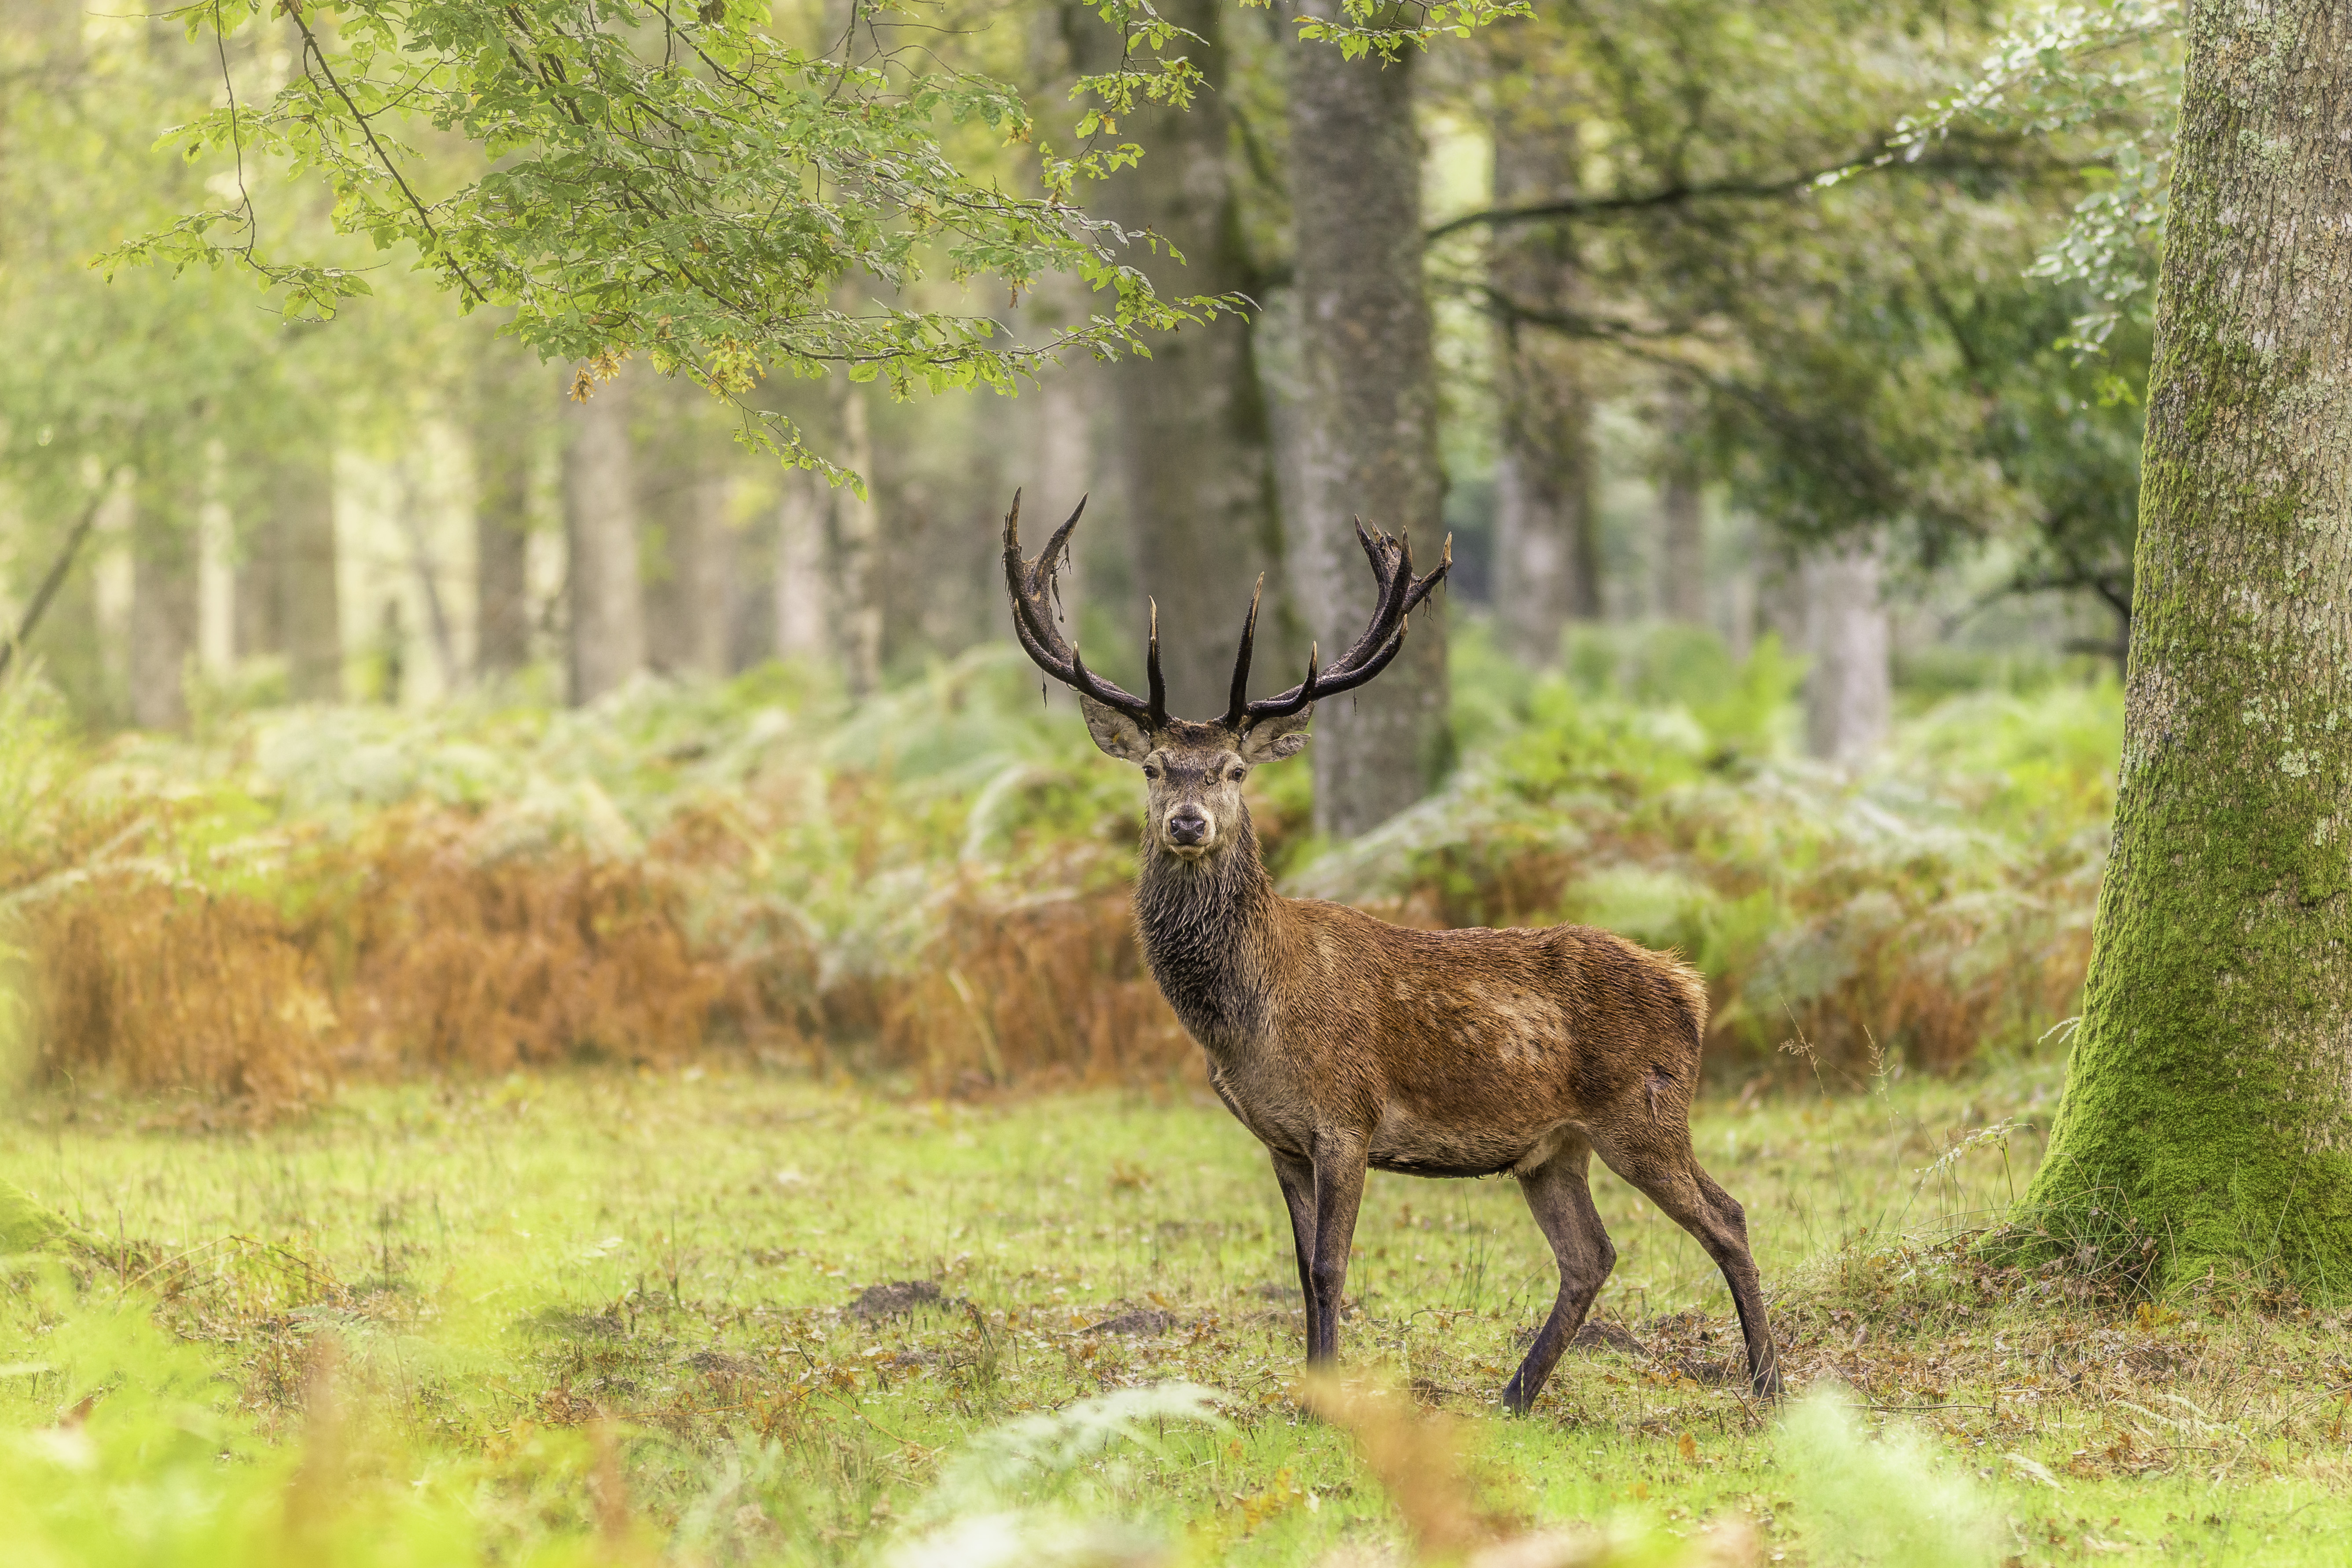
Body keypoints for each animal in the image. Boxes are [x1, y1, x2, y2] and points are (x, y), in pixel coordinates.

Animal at [1000, 492, 1781, 1410]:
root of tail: (1688, 986)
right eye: (1154, 768)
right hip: (1552, 1148)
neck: (1248, 1022)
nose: (1187, 823)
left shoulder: (1346, 1115)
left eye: (1233, 771)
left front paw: (1331, 1396)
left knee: (1726, 1215)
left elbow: (1329, 1266)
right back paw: (1513, 1395)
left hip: (1644, 1110)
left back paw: (1767, 1384)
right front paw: (1309, 1386)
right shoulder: (1278, 1137)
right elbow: (1300, 1269)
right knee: (1590, 1254)